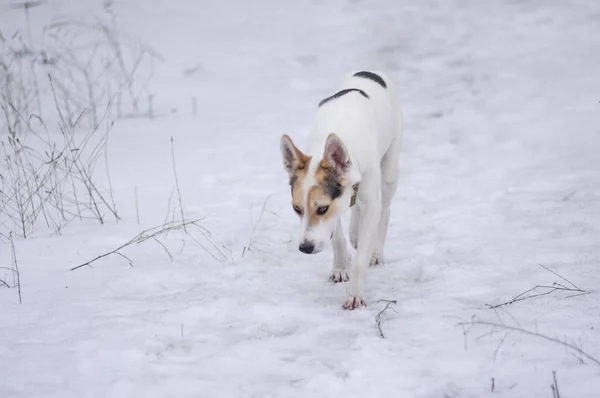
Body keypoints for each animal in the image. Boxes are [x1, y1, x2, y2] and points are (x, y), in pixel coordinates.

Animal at [280, 70, 404, 310]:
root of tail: (370, 71)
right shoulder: (338, 203)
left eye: (321, 209)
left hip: (389, 171)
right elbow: (337, 237)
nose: (305, 248)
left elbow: (361, 257)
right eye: (296, 209)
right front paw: (339, 268)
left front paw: (354, 294)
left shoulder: (367, 201)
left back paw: (376, 251)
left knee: (384, 210)